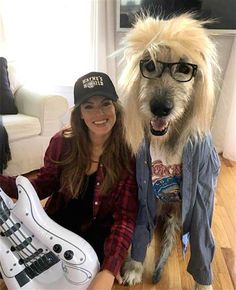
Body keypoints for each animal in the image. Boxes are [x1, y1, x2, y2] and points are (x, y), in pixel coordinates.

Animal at [119, 13, 220, 290]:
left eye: (184, 69)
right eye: (149, 65)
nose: (160, 108)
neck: (168, 138)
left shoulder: (201, 196)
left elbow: (202, 241)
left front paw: (203, 283)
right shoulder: (144, 189)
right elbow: (140, 225)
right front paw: (135, 265)